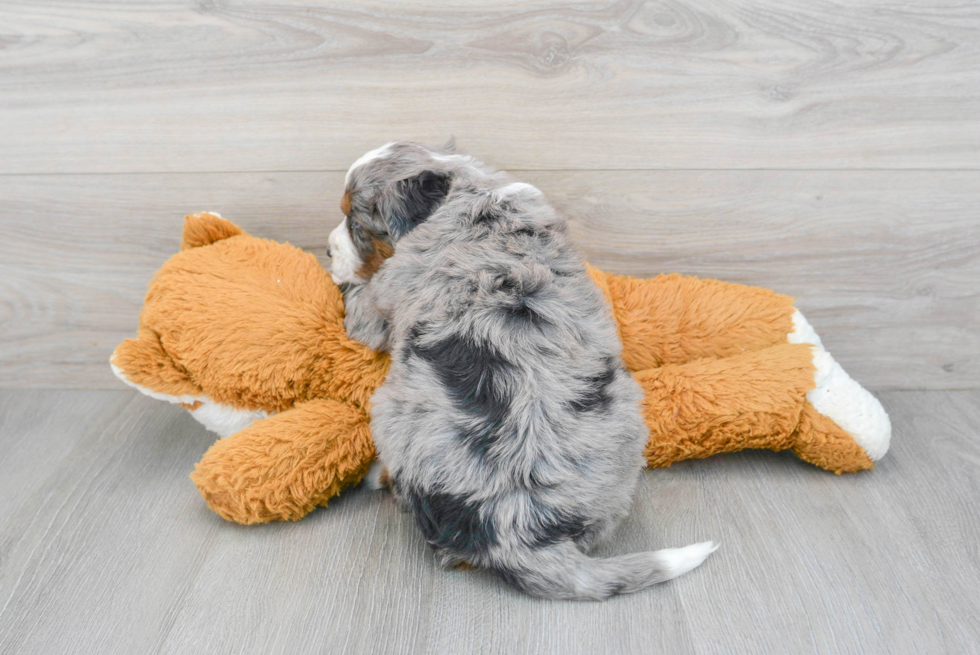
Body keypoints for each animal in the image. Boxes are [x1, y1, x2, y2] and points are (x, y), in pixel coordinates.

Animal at [326, 141, 716, 604]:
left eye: (356, 223)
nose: (326, 250)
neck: (466, 192)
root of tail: (519, 531)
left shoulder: (378, 305)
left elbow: (359, 302)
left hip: (387, 409)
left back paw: (376, 475)